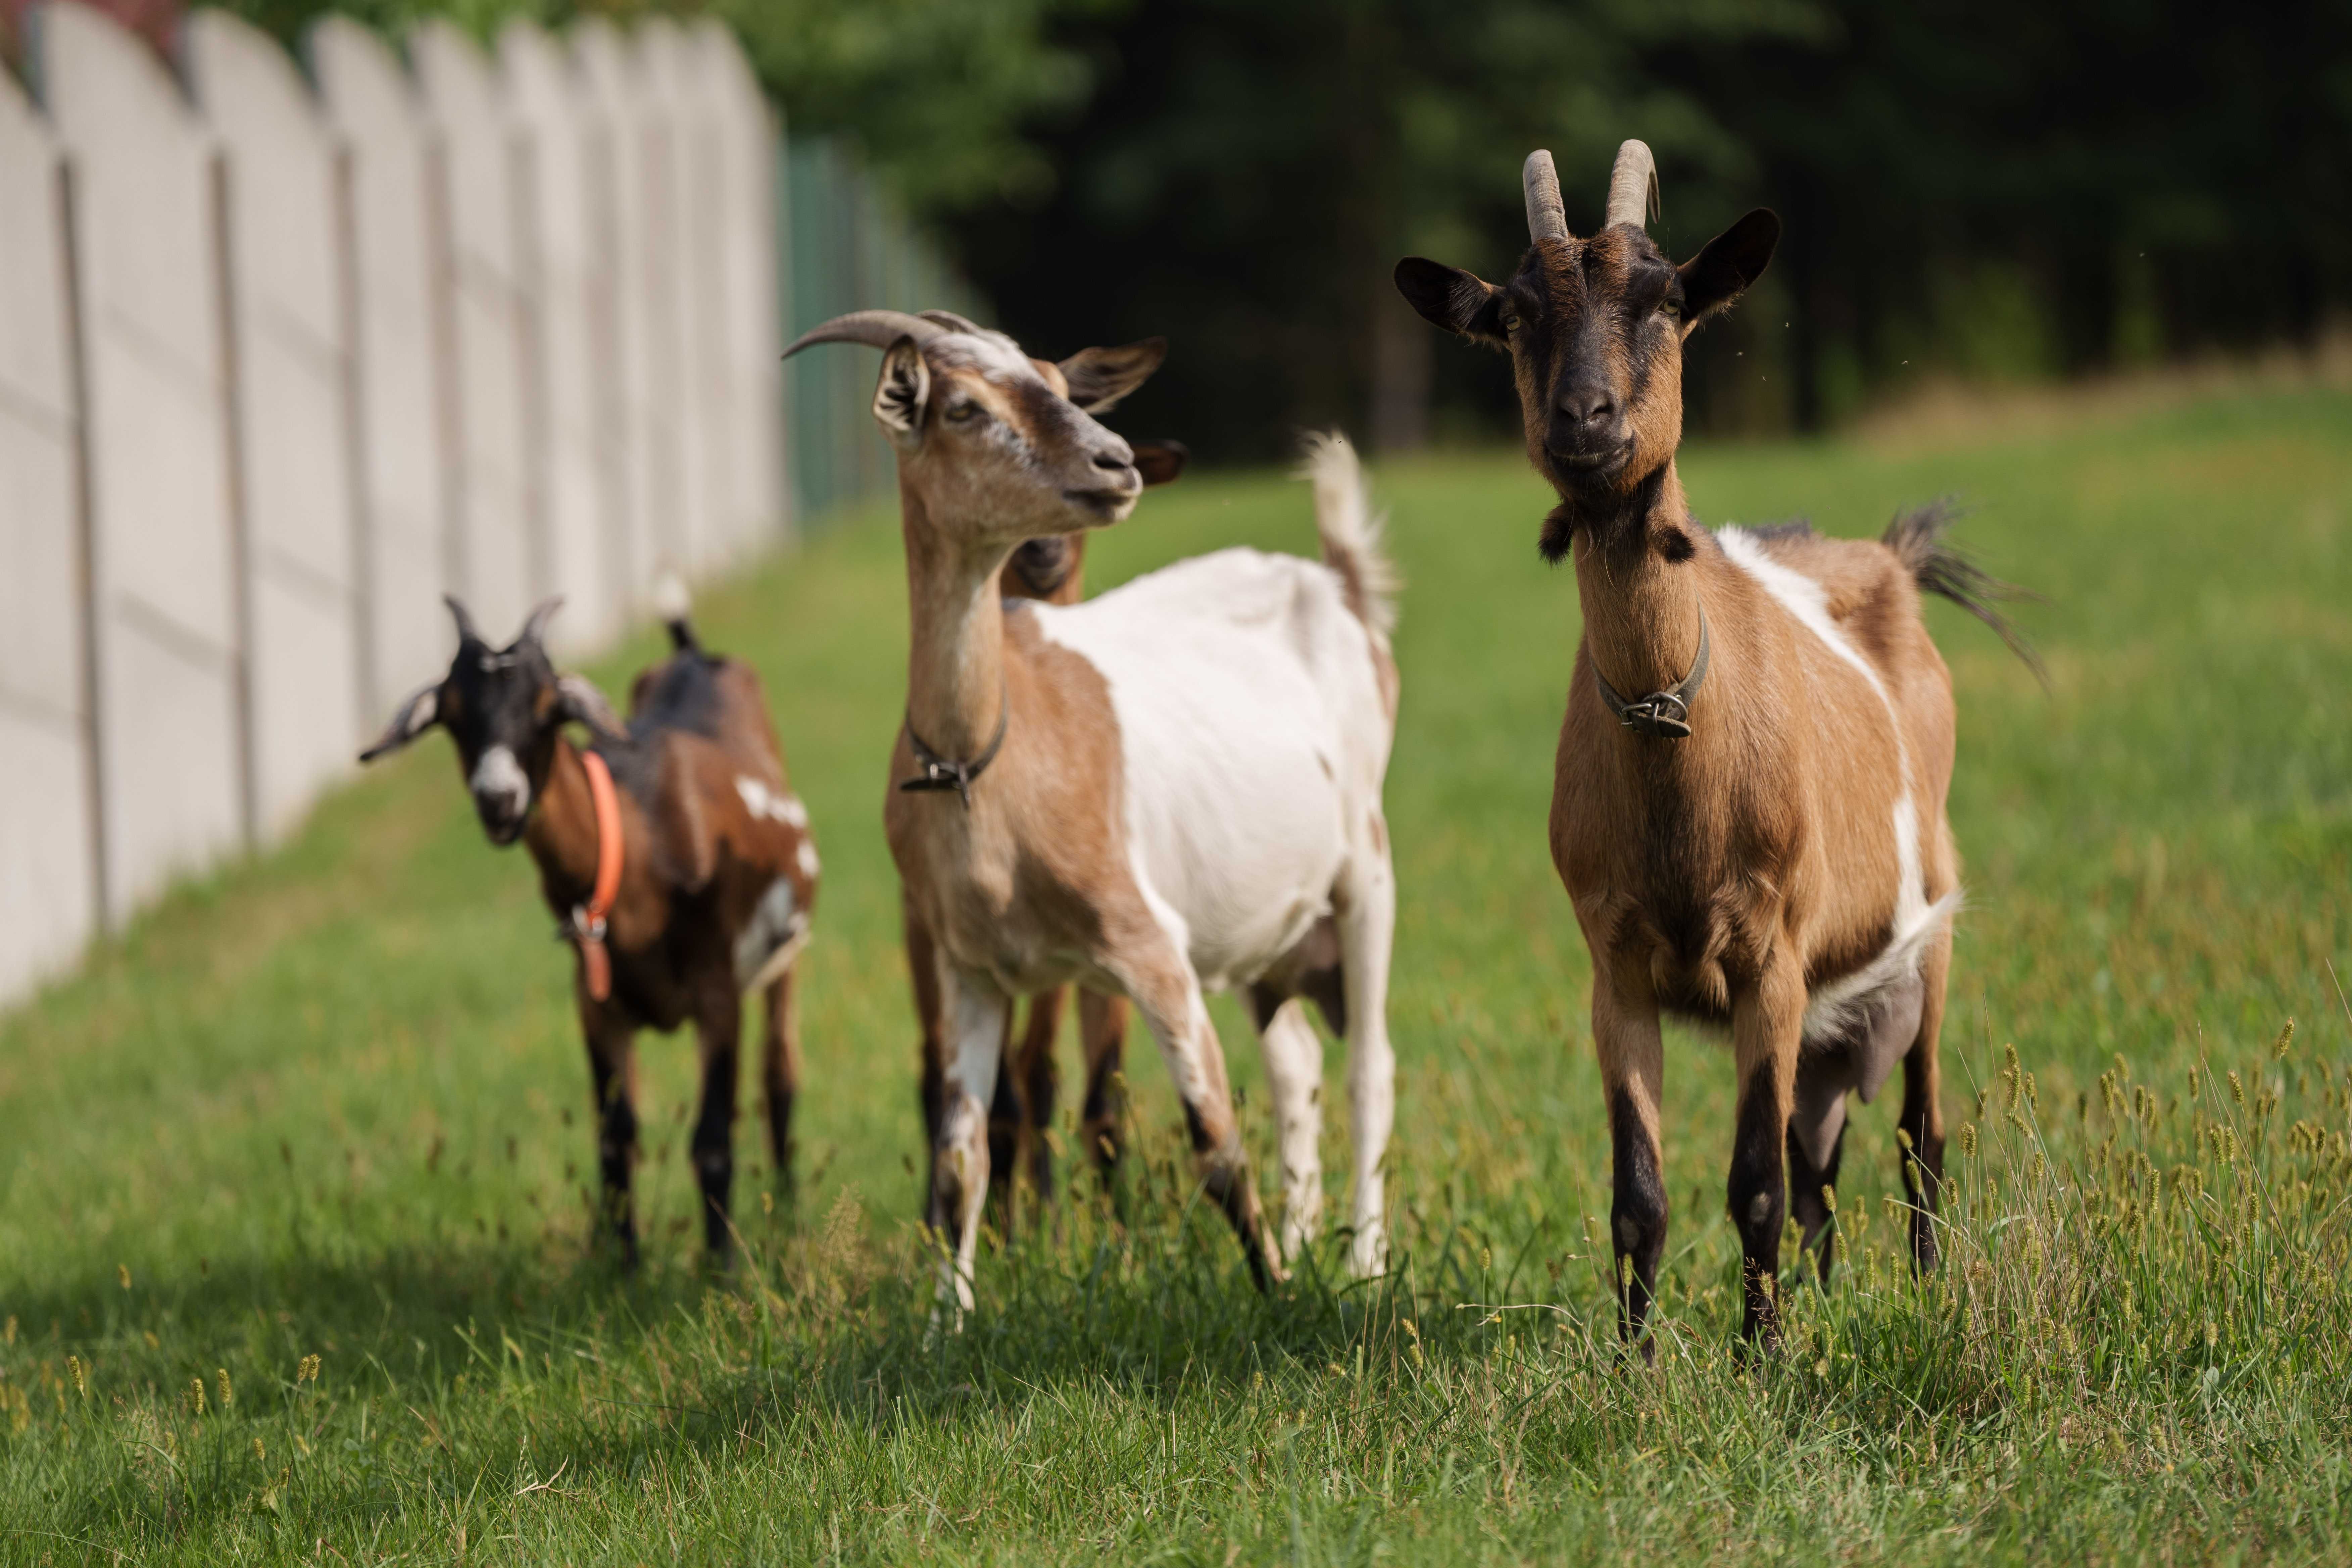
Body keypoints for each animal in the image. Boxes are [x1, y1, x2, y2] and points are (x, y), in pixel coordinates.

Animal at [357, 595, 818, 1269]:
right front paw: (621, 1262)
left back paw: (788, 1214)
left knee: (780, 1075)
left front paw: (722, 1267)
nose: (499, 799)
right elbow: (615, 1134)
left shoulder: (717, 994)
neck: (642, 848)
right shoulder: (595, 1001)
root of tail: (693, 653)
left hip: (787, 958)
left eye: (549, 708)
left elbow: (711, 1135)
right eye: (453, 714)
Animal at [781, 312, 1402, 1307]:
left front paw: (1274, 1297)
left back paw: (1360, 1264)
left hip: (1365, 866)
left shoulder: (1150, 947)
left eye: (1060, 386)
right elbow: (961, 1160)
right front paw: (945, 1323)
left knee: (1368, 1069)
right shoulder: (972, 970)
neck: (984, 767)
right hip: (1266, 924)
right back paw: (1312, 1238)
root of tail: (1336, 584)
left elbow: (1215, 1143)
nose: (1115, 465)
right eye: (964, 406)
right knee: (1297, 1062)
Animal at [1392, 144, 2041, 1354]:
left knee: (1918, 1138)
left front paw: (1760, 1359)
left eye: (1662, 299)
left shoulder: (1769, 956)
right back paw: (1829, 1293)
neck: (1674, 752)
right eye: (1513, 315)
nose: (1584, 418)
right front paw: (1637, 1363)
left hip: (1928, 934)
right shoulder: (1614, 965)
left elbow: (1753, 1183)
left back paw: (1925, 1293)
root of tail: (1889, 557)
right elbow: (1639, 1194)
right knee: (1822, 1150)